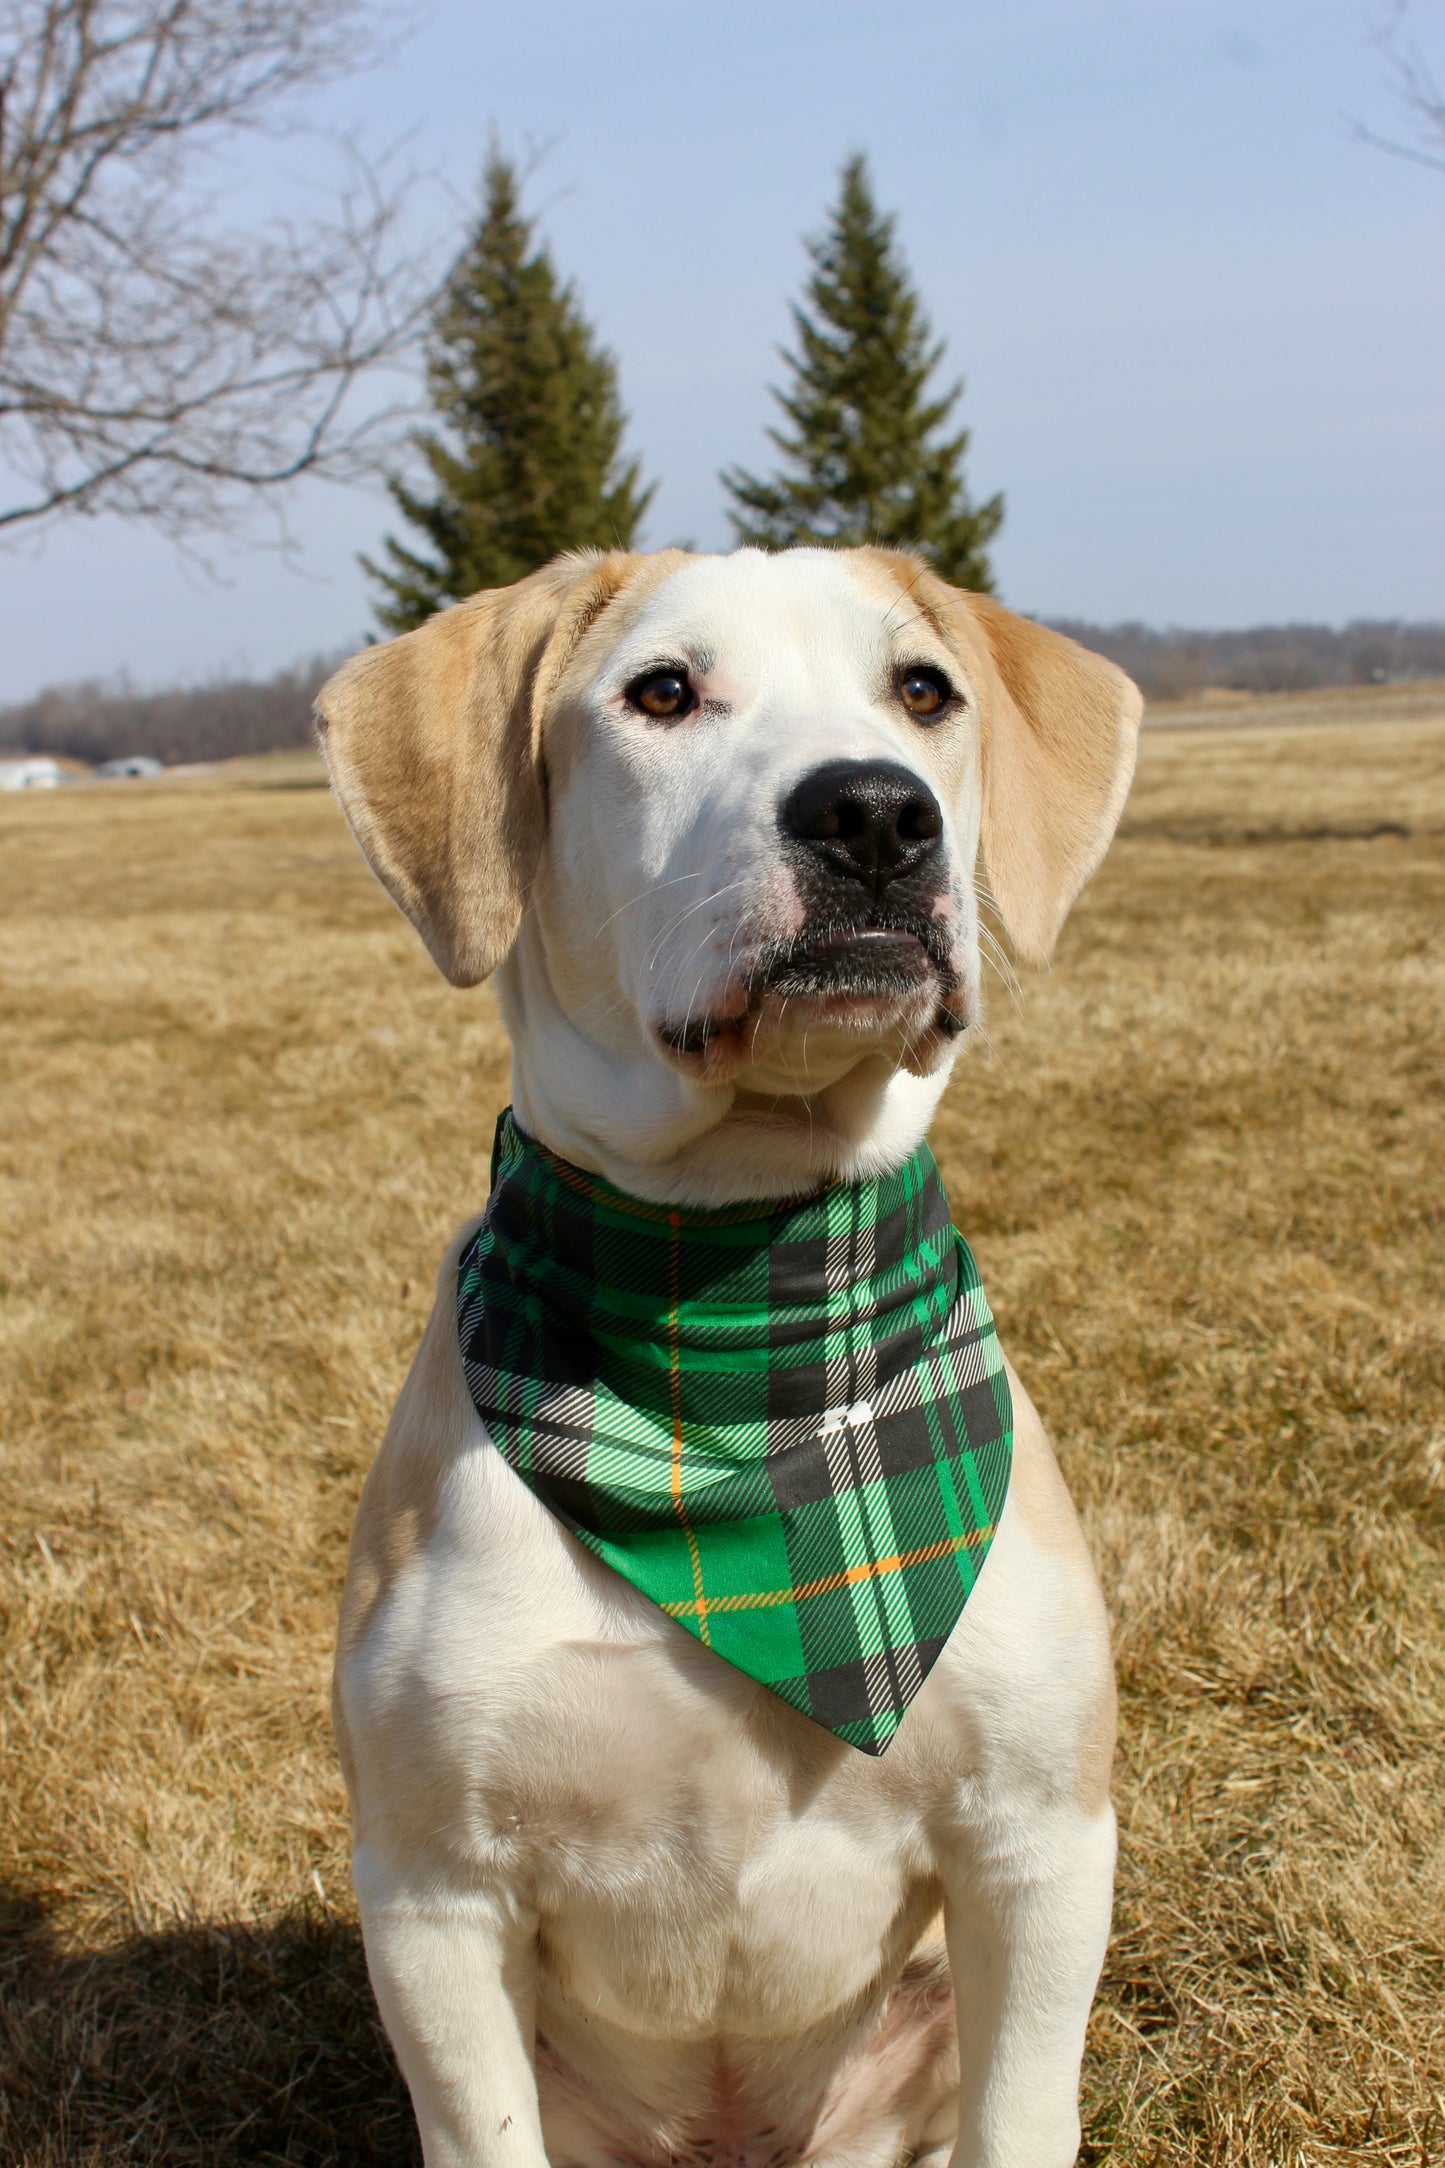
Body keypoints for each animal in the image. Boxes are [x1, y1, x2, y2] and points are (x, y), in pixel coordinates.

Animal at [316, 546, 1143, 2168]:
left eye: (924, 690)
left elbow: (1019, 2110)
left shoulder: (1037, 1841)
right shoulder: (435, 1894)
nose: (876, 812)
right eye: (661, 691)